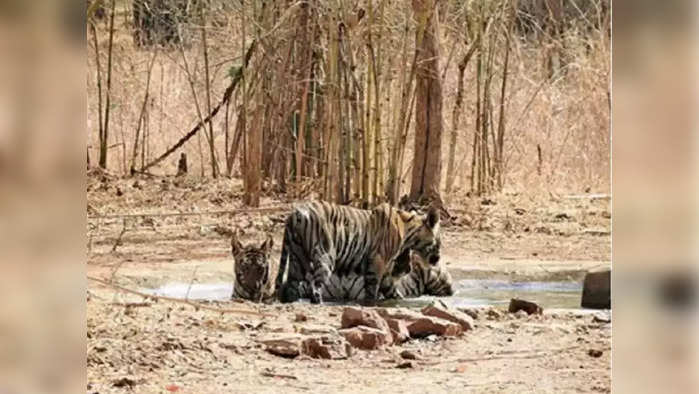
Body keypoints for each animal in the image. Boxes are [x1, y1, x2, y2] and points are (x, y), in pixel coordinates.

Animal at [276, 202, 440, 304]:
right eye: (438, 241)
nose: (437, 260)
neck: (408, 231)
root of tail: (296, 213)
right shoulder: (378, 261)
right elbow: (373, 286)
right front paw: (371, 302)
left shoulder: (385, 267)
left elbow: (389, 287)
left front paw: (398, 300)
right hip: (326, 255)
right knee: (315, 285)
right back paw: (319, 302)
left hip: (298, 256)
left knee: (292, 283)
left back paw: (293, 300)